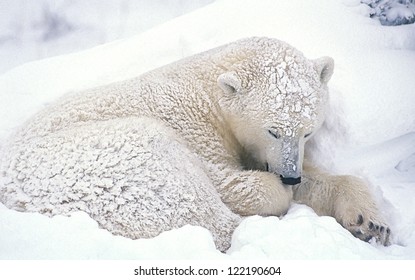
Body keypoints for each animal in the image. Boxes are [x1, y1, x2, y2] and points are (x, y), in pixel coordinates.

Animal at [0, 36, 390, 249]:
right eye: (272, 130)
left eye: (308, 130)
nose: (289, 175)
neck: (207, 94)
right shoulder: (192, 129)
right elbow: (228, 179)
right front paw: (276, 190)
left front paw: (370, 222)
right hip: (106, 164)